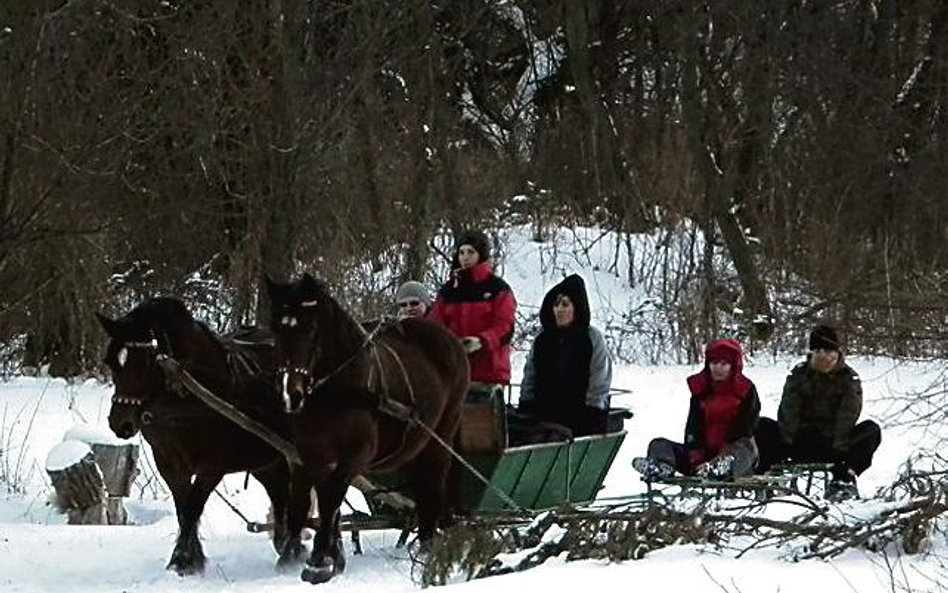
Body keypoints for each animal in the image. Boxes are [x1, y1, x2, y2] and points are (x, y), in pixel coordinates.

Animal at [98, 298, 310, 576]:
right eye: (111, 362)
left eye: (144, 362)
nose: (120, 423)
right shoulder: (168, 462)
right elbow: (182, 507)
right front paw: (189, 559)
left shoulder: (213, 464)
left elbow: (193, 506)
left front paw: (183, 559)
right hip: (267, 458)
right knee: (280, 493)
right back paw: (286, 547)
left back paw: (294, 551)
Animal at [264, 276, 468, 584]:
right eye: (276, 329)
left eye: (310, 329)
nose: (291, 394)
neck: (334, 391)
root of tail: (451, 340)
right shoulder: (308, 453)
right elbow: (301, 500)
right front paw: (292, 558)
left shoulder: (355, 455)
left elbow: (330, 498)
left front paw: (319, 561)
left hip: (440, 434)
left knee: (432, 484)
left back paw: (427, 550)